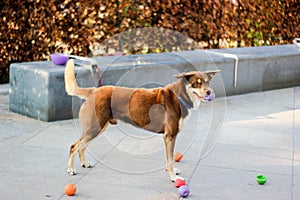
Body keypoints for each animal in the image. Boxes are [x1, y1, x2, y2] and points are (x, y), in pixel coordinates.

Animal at [64, 58, 219, 181]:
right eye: (197, 83)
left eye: (207, 82)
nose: (209, 92)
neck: (179, 96)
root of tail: (93, 90)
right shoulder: (170, 136)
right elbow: (170, 160)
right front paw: (173, 177)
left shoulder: (167, 137)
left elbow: (168, 158)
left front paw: (172, 172)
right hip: (95, 127)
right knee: (74, 146)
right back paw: (70, 169)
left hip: (99, 127)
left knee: (82, 146)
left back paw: (84, 163)